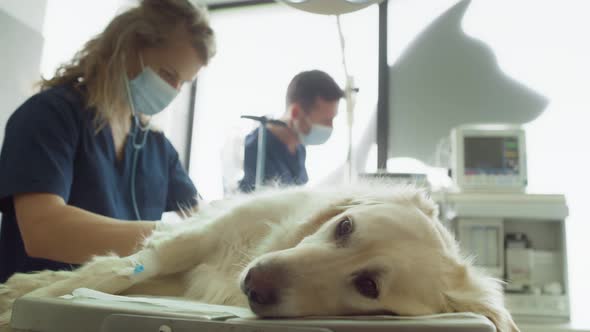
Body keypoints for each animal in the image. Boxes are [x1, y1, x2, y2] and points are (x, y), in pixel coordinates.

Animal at [0, 184, 520, 332]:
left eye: (368, 287)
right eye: (345, 227)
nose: (255, 282)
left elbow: (115, 275)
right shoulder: (195, 239)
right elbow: (114, 272)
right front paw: (21, 297)